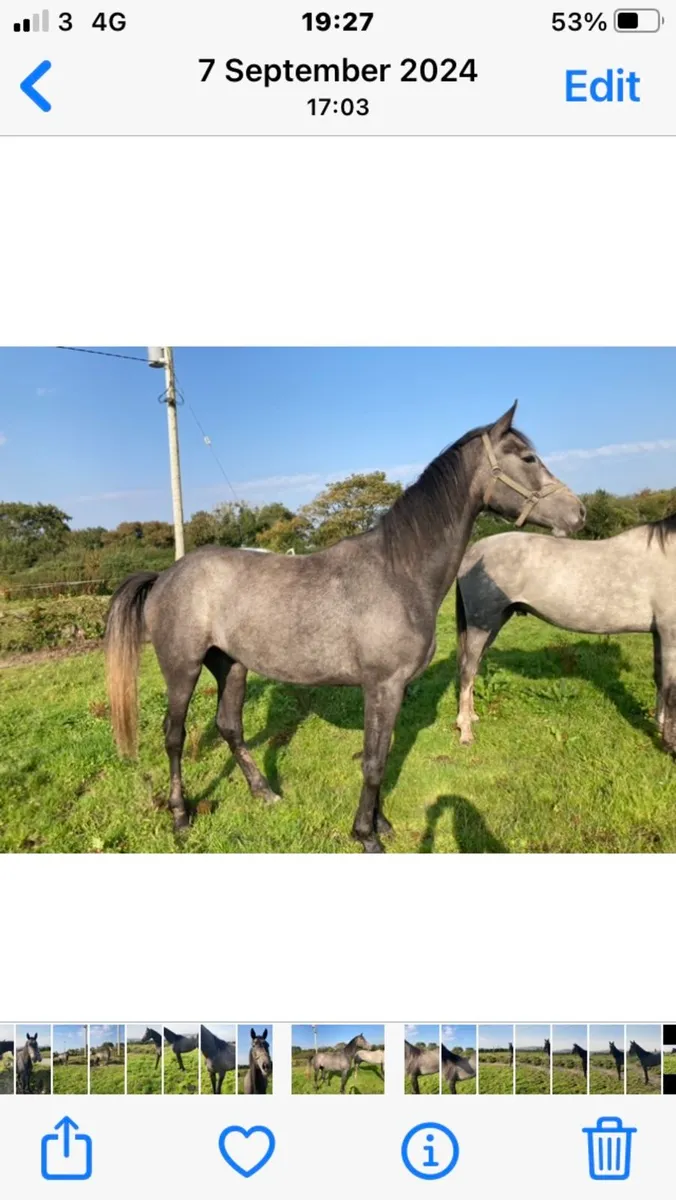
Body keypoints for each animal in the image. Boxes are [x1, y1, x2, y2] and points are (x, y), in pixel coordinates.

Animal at [104, 402, 583, 853]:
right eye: (528, 457)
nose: (578, 512)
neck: (399, 572)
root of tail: (165, 576)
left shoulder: (392, 690)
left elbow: (383, 755)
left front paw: (381, 823)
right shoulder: (382, 686)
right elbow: (373, 762)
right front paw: (366, 835)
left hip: (231, 665)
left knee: (229, 726)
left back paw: (264, 793)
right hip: (182, 669)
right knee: (174, 736)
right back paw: (180, 816)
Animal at [454, 518, 676, 749]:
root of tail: (472, 552)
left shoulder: (659, 633)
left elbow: (660, 680)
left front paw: (659, 727)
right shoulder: (670, 632)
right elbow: (672, 690)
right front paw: (669, 744)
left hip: (493, 623)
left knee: (473, 668)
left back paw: (472, 716)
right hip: (481, 624)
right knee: (467, 671)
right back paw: (466, 732)